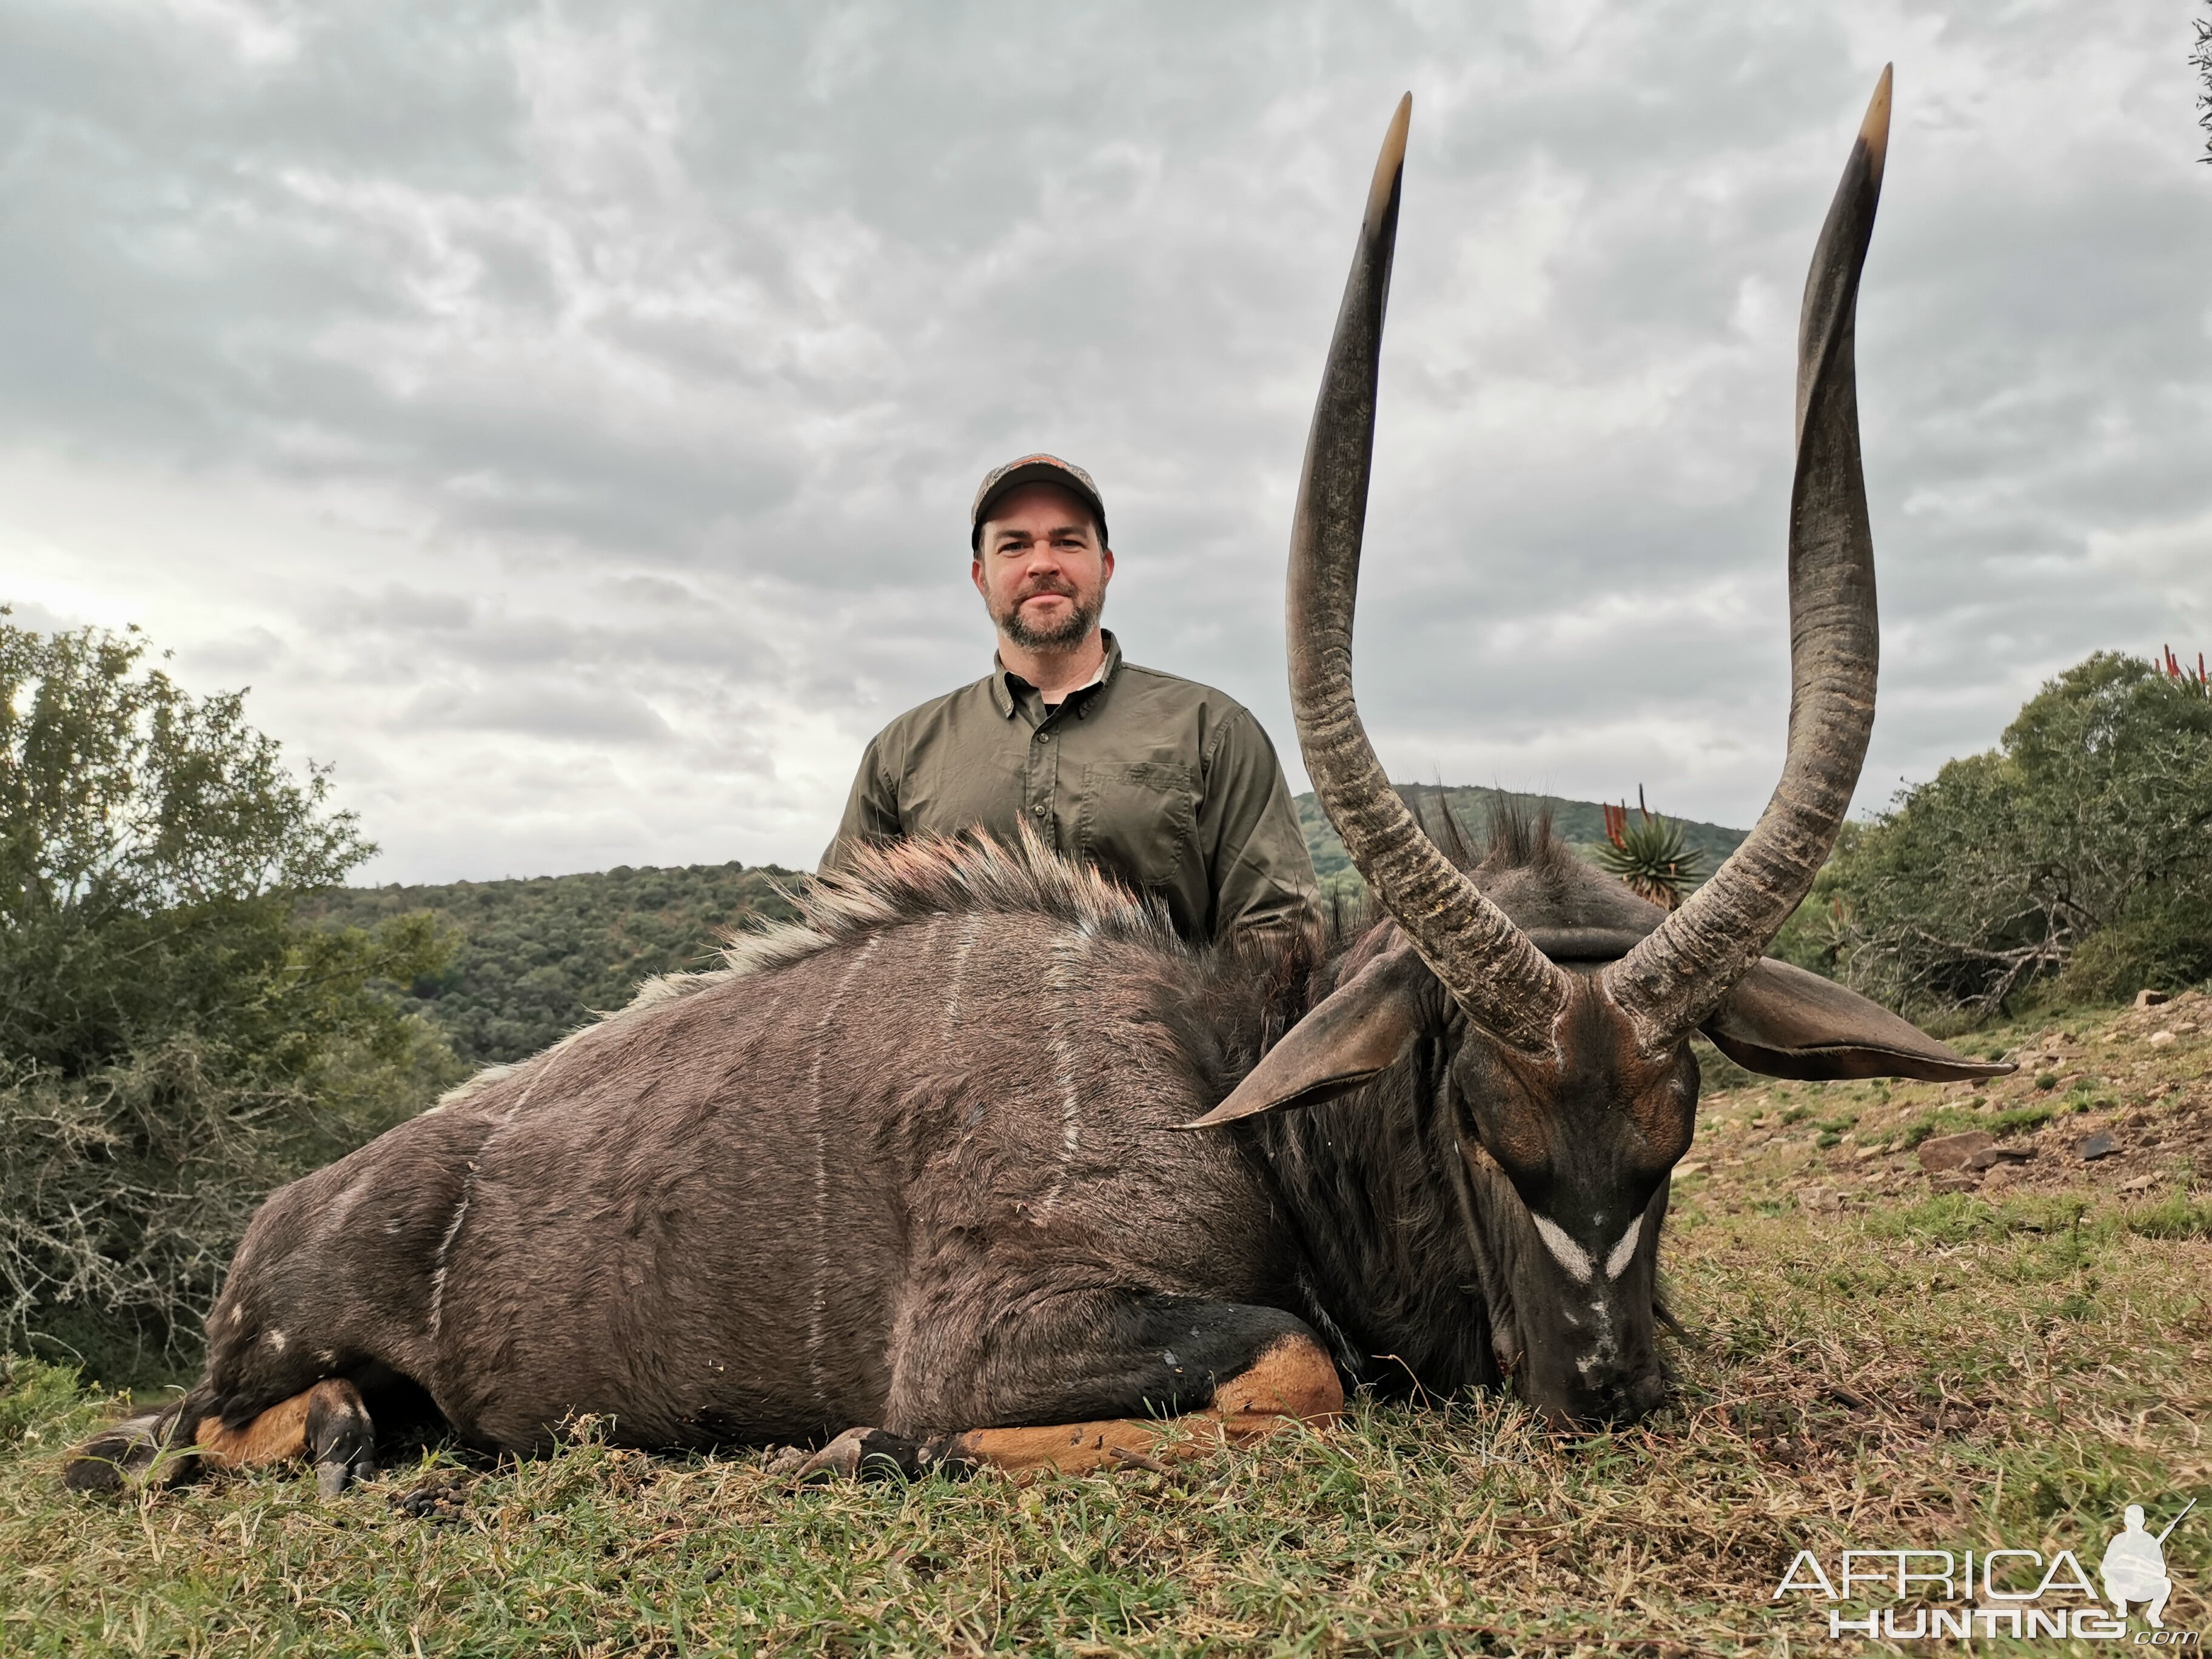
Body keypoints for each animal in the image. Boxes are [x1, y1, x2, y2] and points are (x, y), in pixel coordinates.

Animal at [73, 71, 2008, 1504]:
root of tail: (284, 1214)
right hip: (266, 1358)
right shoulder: (1004, 1327)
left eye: (1676, 1131)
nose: (1603, 1386)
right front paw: (868, 1446)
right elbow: (1294, 1364)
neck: (1229, 1071)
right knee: (198, 1431)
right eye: (1478, 1115)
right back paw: (335, 1437)